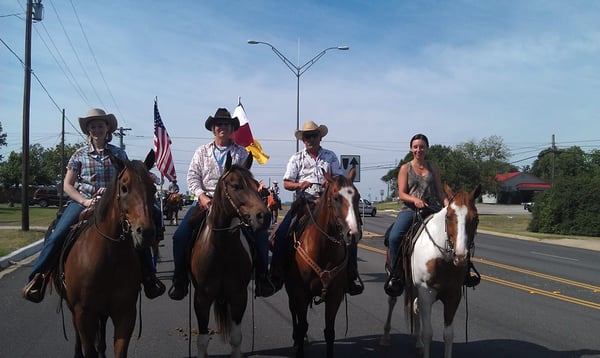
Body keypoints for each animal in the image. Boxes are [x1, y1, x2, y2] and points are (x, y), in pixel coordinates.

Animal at [55, 151, 157, 358]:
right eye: (124, 188)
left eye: (154, 188)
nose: (147, 232)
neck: (109, 257)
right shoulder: (83, 313)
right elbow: (88, 348)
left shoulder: (125, 313)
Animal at [190, 152, 270, 356]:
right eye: (236, 186)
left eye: (256, 184)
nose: (264, 217)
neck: (222, 248)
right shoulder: (202, 298)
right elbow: (202, 341)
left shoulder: (238, 296)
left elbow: (236, 338)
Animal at [284, 168, 358, 358]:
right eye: (336, 198)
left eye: (357, 197)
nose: (353, 233)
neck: (323, 247)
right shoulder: (299, 292)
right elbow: (303, 325)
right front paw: (299, 347)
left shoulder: (335, 294)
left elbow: (329, 332)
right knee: (293, 311)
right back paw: (295, 339)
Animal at [380, 185, 482, 358]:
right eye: (448, 216)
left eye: (475, 218)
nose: (461, 256)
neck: (443, 258)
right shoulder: (426, 292)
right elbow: (428, 333)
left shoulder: (453, 295)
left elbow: (448, 335)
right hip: (394, 277)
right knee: (392, 301)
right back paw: (386, 338)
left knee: (414, 307)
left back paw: (418, 343)